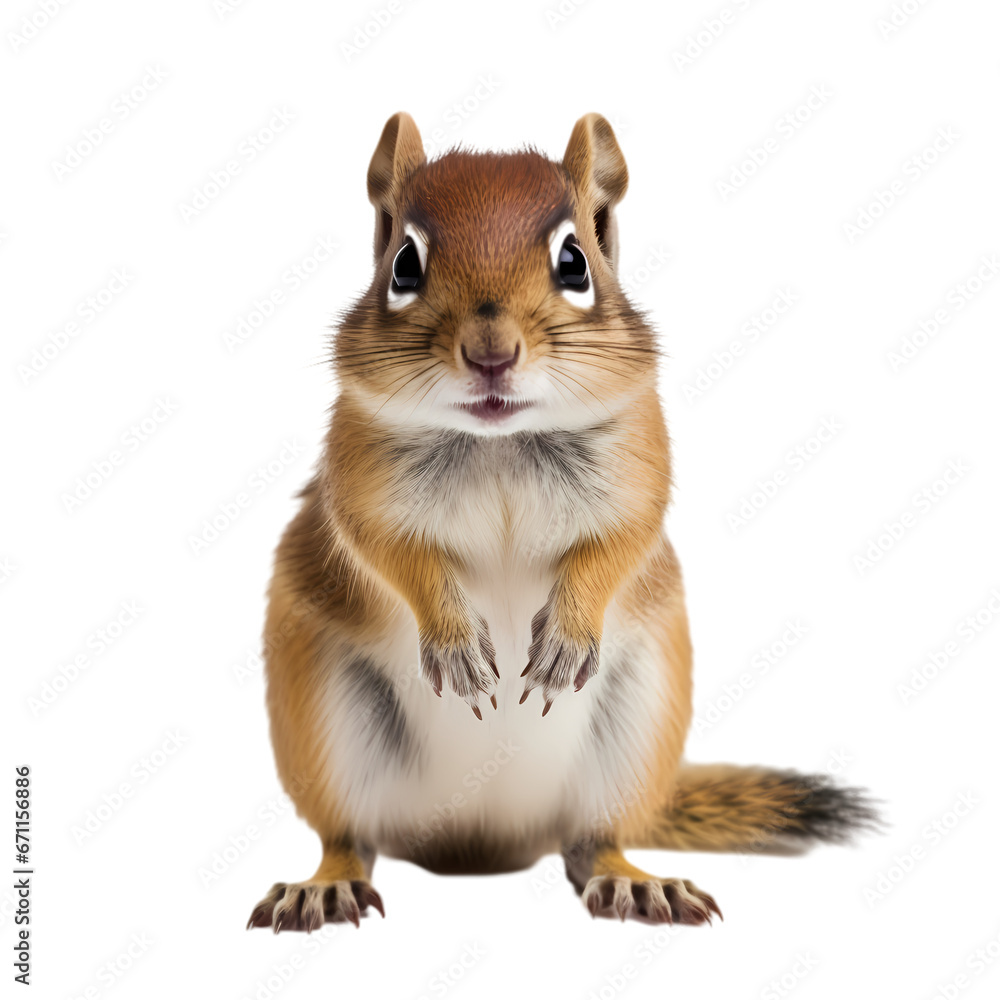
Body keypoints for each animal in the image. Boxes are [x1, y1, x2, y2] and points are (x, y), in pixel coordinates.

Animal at [247, 112, 876, 932]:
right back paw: (323, 885)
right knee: (347, 837)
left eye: (574, 261)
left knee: (592, 841)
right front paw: (456, 644)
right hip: (325, 732)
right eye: (404, 265)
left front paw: (566, 637)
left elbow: (618, 546)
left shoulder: (640, 473)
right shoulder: (355, 482)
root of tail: (480, 841)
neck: (499, 442)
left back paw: (635, 882)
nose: (491, 353)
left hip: (633, 737)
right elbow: (389, 551)